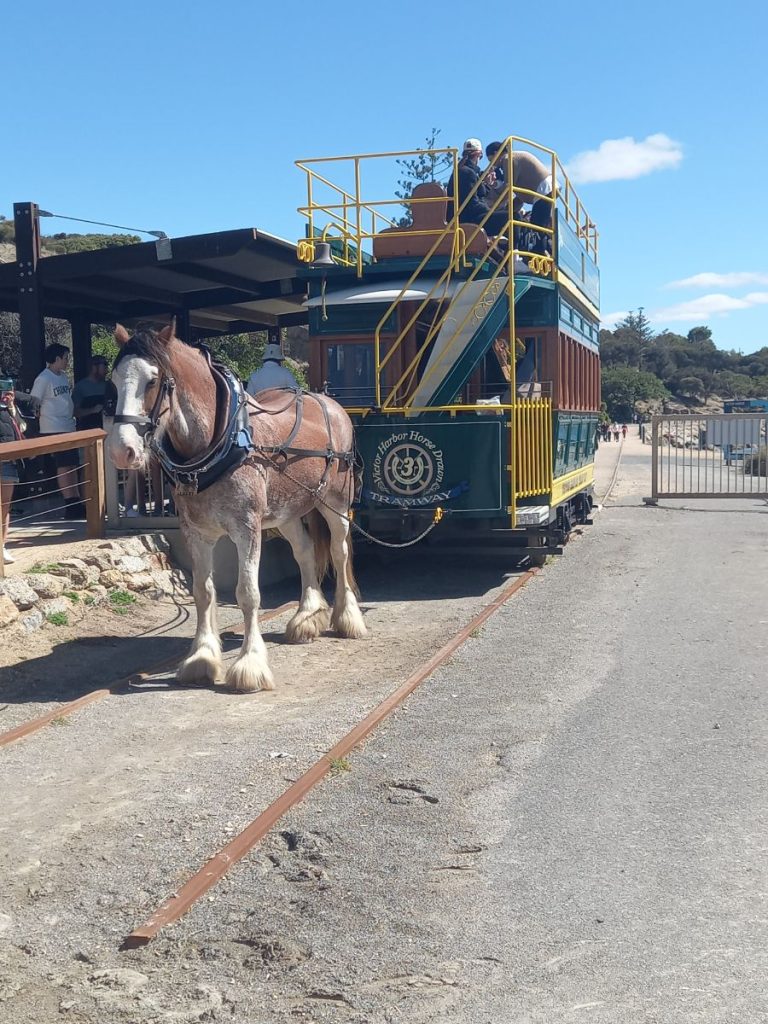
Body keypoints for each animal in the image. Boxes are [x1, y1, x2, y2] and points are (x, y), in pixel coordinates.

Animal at [105, 323, 366, 692]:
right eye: (114, 381)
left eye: (153, 380)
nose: (121, 450)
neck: (220, 441)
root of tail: (326, 402)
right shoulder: (197, 532)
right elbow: (203, 591)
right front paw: (201, 657)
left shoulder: (247, 529)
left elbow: (247, 593)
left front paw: (249, 664)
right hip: (287, 511)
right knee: (304, 551)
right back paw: (306, 617)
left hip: (335, 503)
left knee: (339, 552)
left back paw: (348, 618)